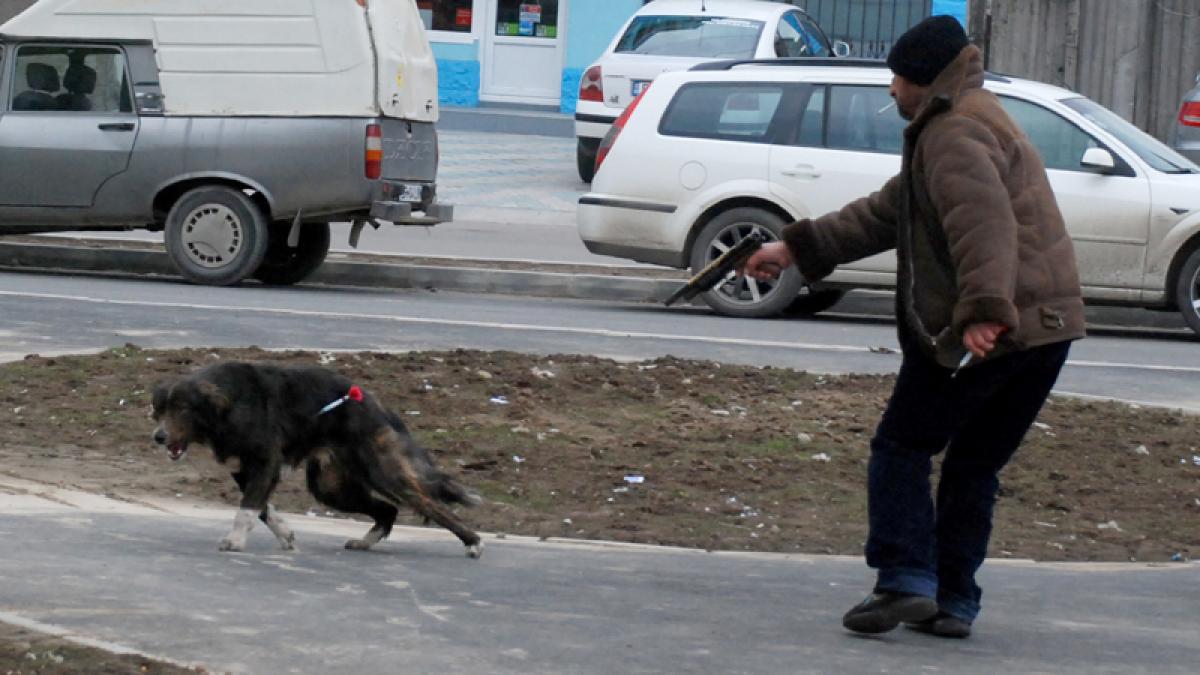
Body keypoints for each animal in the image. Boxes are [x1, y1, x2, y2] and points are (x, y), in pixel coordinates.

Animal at [151, 362, 482, 557]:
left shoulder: (265, 464)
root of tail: (377, 404)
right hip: (331, 486)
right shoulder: (244, 471)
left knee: (431, 504)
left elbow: (247, 510)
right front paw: (286, 535)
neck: (231, 404)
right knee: (388, 510)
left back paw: (473, 542)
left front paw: (234, 542)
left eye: (183, 409)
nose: (158, 437)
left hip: (382, 472)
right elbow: (262, 509)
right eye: (160, 409)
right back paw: (364, 542)